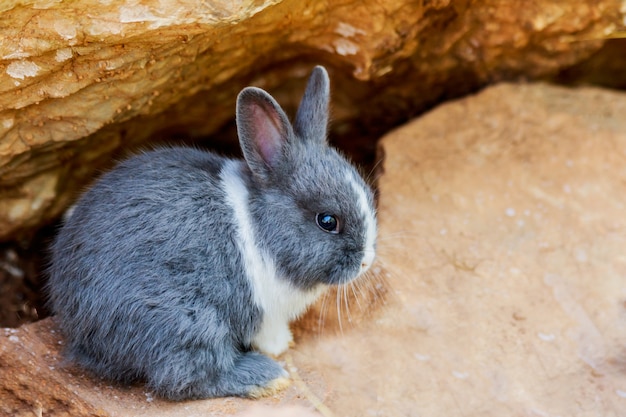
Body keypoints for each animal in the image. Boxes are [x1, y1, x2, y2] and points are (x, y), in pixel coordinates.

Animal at [47, 66, 376, 402]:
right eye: (327, 221)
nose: (366, 262)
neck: (258, 227)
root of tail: (78, 328)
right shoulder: (261, 311)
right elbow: (265, 334)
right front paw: (281, 346)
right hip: (191, 319)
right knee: (186, 376)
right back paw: (268, 377)